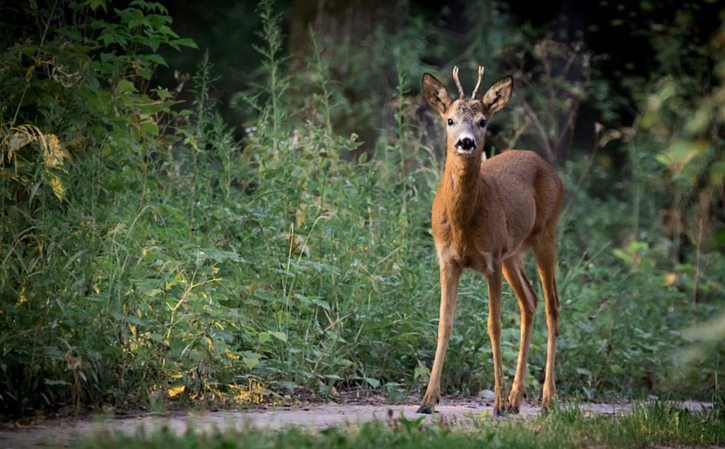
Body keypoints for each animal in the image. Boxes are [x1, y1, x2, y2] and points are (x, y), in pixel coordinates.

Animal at [416, 65, 564, 414]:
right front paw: (427, 400)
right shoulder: (447, 260)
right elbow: (444, 323)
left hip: (545, 234)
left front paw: (495, 402)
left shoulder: (491, 259)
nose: (467, 143)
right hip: (513, 254)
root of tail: (548, 166)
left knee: (552, 305)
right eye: (450, 120)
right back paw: (516, 398)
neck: (463, 225)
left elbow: (494, 326)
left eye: (483, 121)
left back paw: (545, 396)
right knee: (530, 301)